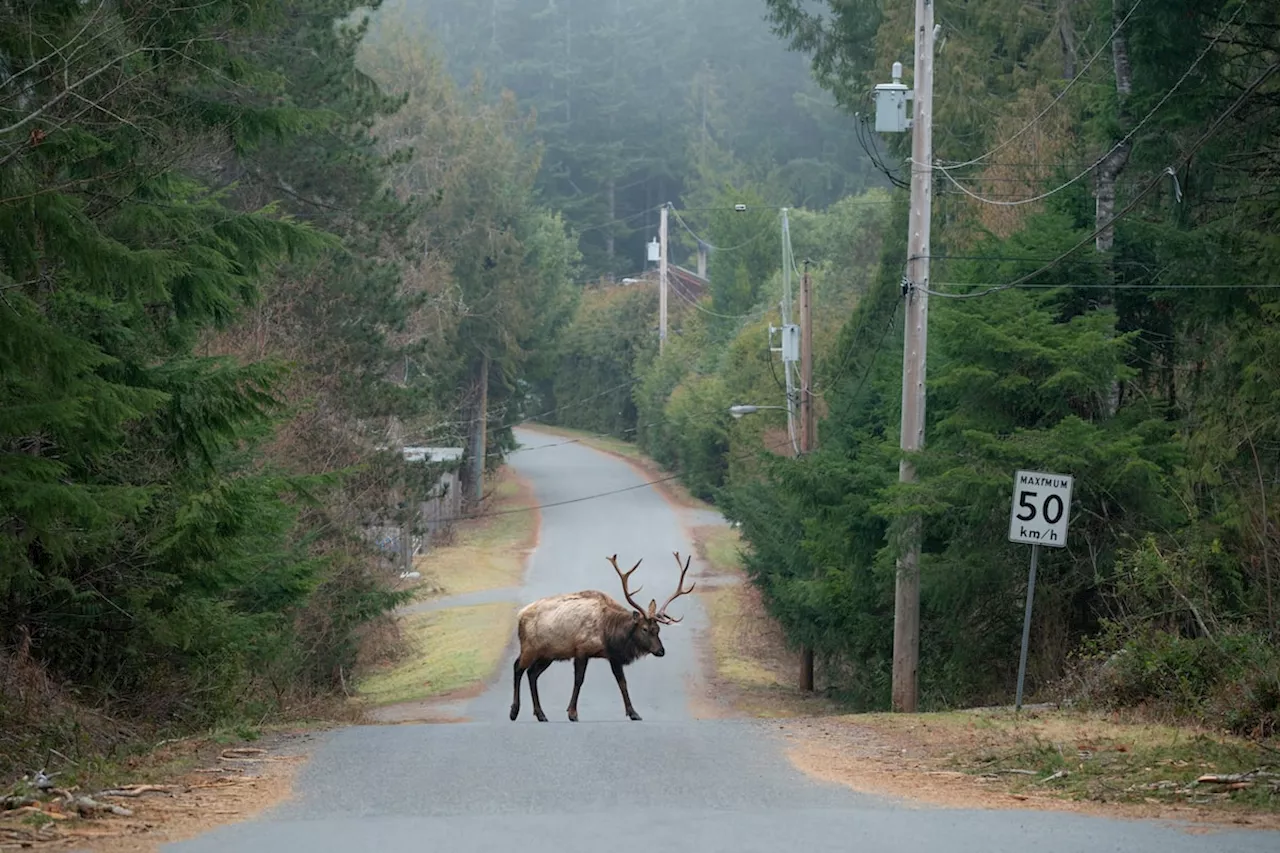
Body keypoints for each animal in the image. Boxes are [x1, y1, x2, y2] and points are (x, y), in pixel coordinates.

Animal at [506, 548, 696, 722]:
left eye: (658, 629)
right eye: (644, 629)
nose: (661, 651)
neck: (609, 634)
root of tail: (520, 615)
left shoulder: (613, 656)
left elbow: (622, 682)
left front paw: (633, 713)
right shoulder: (581, 650)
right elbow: (579, 680)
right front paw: (572, 713)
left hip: (548, 654)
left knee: (532, 673)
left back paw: (540, 714)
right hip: (530, 647)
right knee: (517, 667)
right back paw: (514, 711)